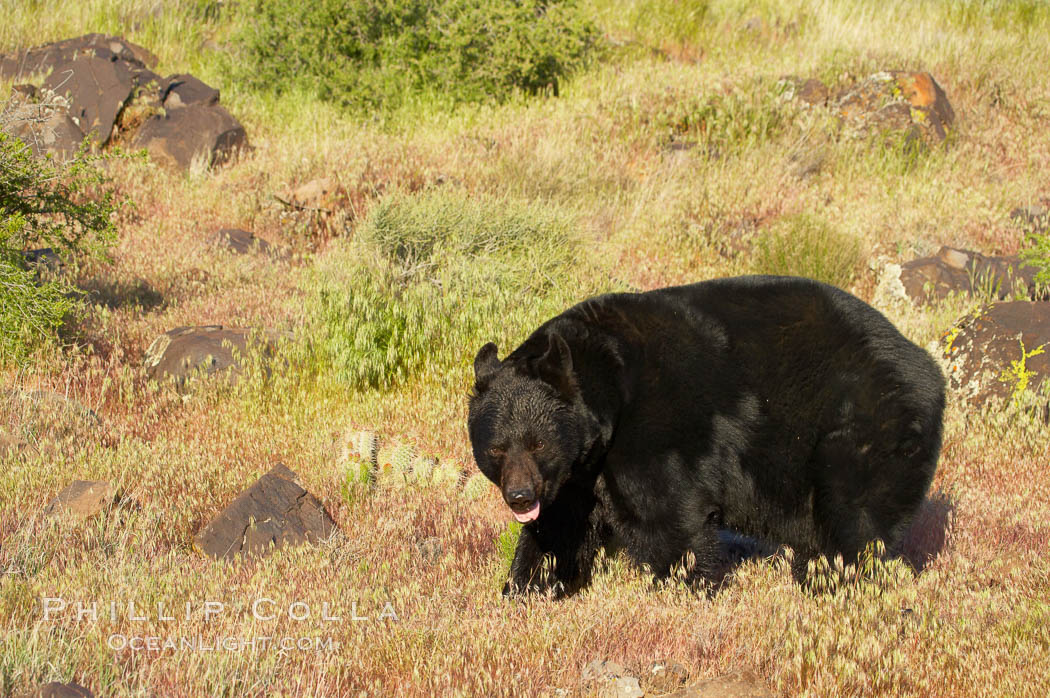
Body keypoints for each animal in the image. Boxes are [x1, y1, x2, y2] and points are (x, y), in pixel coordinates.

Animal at [468, 275, 944, 596]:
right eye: (496, 449)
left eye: (539, 442)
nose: (520, 497)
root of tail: (928, 368)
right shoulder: (574, 477)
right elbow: (558, 532)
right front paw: (526, 587)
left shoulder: (655, 431)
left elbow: (669, 516)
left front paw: (685, 584)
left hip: (863, 427)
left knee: (855, 518)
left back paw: (836, 579)